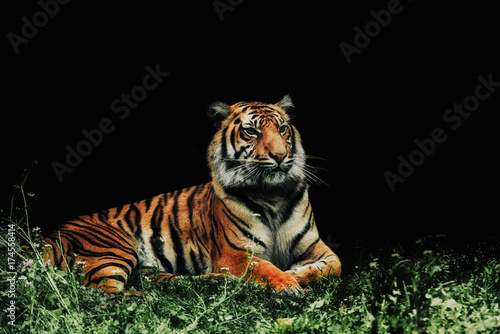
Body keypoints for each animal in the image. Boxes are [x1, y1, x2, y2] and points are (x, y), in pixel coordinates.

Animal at [44, 95, 340, 294]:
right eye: (251, 131)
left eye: (282, 128)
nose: (280, 155)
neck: (273, 194)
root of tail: (47, 238)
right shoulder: (235, 253)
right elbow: (265, 267)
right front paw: (287, 282)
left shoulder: (316, 246)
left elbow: (334, 267)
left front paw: (297, 273)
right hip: (112, 248)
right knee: (102, 296)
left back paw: (218, 281)